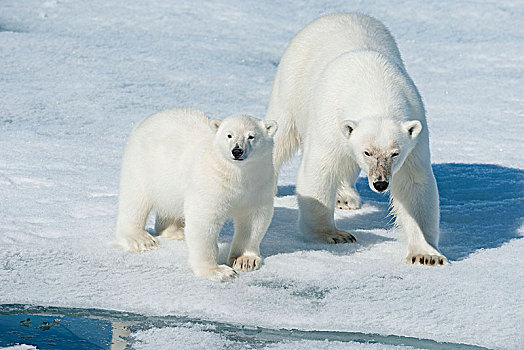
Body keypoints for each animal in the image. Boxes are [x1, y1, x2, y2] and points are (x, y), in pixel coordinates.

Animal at [268, 13, 448, 266]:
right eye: (367, 152)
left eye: (395, 153)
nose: (380, 183)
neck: (375, 88)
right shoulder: (330, 118)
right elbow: (319, 169)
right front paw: (333, 234)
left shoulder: (415, 131)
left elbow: (414, 183)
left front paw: (426, 253)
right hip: (292, 82)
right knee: (281, 135)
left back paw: (345, 197)